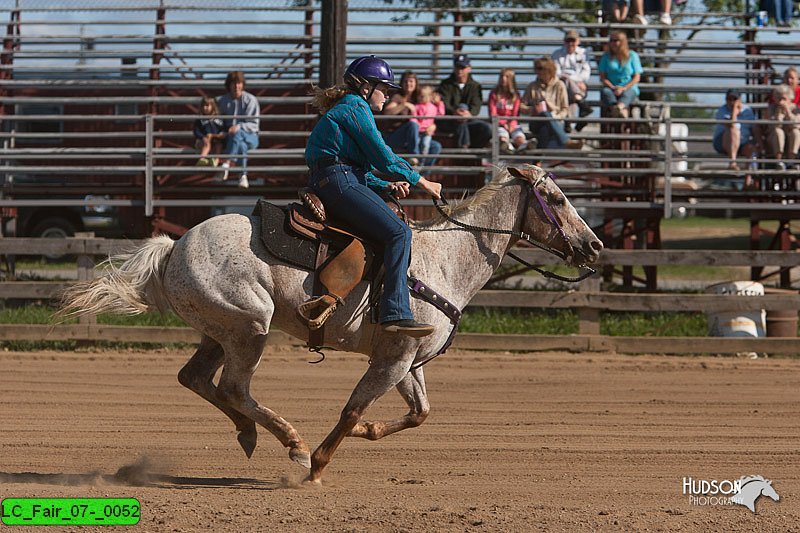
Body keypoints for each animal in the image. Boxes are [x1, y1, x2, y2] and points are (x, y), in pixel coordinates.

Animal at [59, 164, 604, 484]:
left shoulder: (408, 361)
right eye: (557, 199)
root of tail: (173, 247)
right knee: (233, 387)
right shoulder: (393, 359)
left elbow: (419, 413)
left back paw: (250, 433)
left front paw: (369, 430)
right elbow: (351, 408)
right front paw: (320, 462)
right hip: (249, 328)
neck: (445, 260)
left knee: (196, 378)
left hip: (219, 332)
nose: (595, 246)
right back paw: (294, 445)